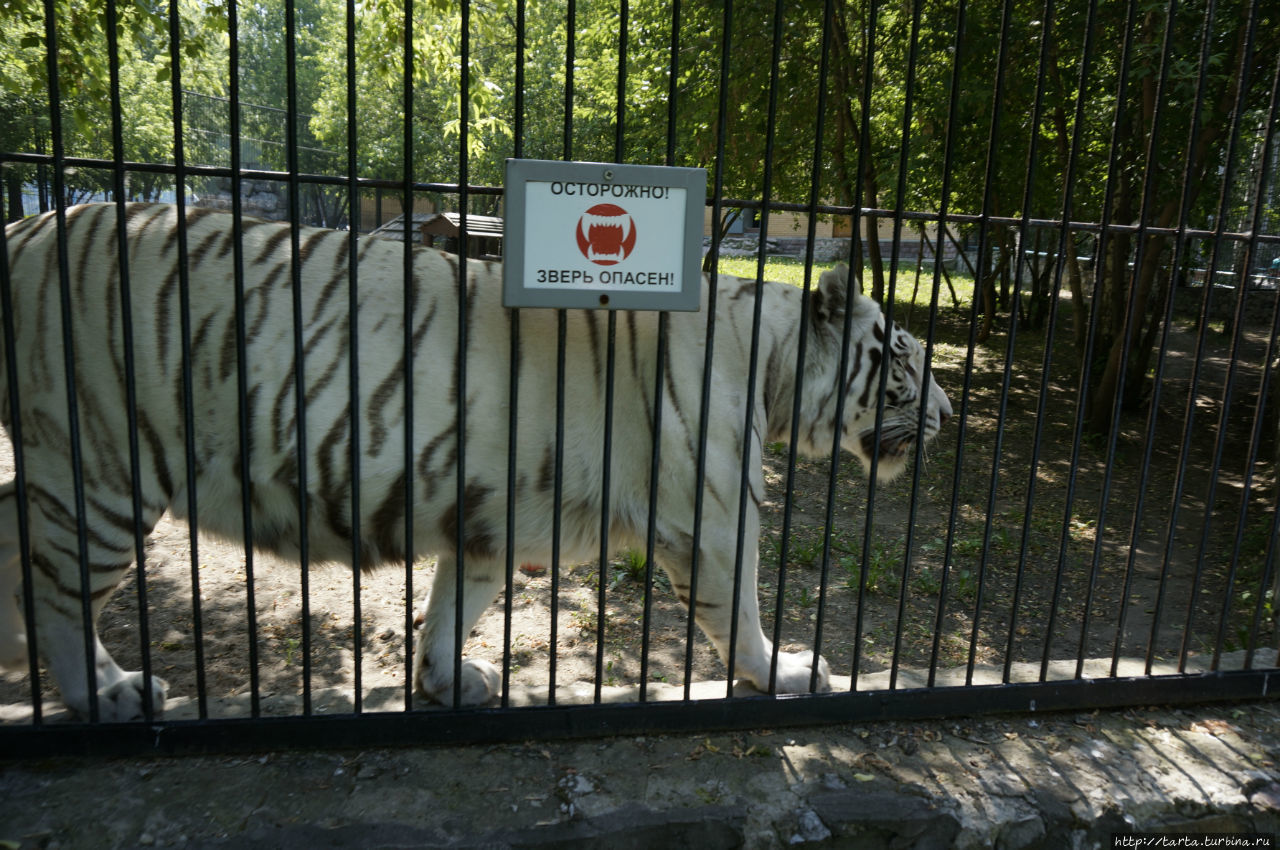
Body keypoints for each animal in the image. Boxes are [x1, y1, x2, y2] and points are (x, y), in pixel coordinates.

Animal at [2, 204, 952, 716]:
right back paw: (108, 692)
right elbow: (743, 609)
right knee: (56, 593)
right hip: (103, 468)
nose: (948, 416)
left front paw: (443, 680)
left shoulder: (494, 516)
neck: (775, 364)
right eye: (906, 358)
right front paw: (788, 673)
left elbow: (452, 605)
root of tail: (26, 224)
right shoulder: (715, 516)